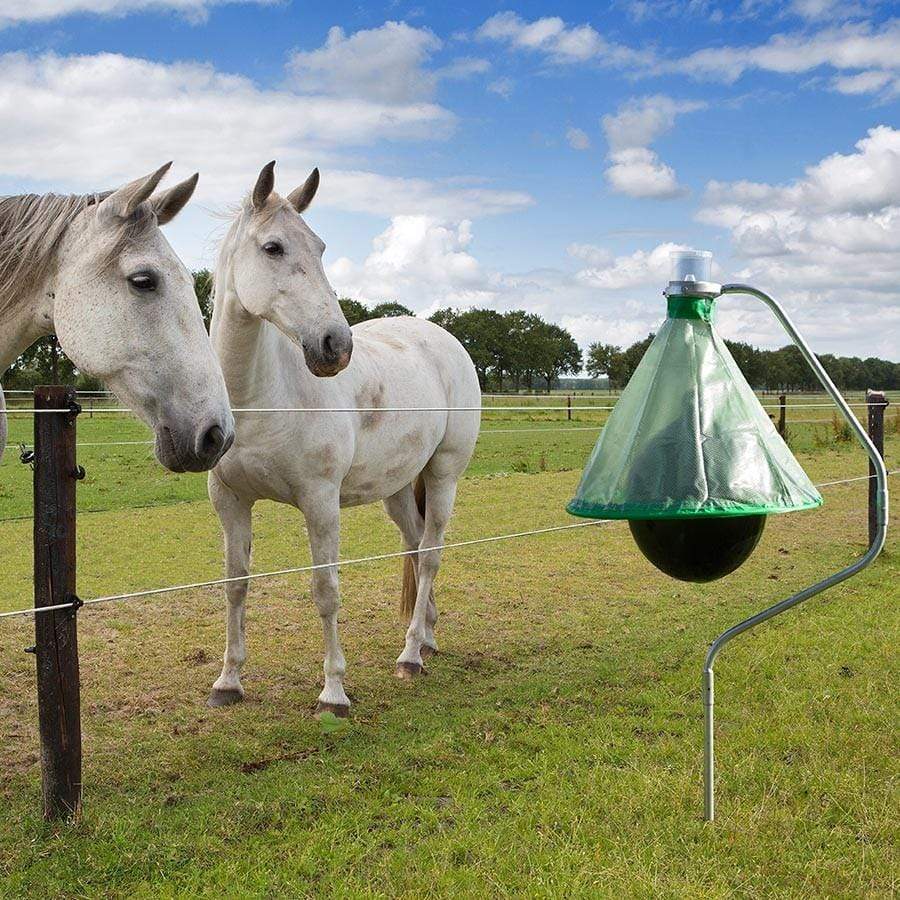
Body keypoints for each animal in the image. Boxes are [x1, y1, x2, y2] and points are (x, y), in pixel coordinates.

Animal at [206, 161, 481, 715]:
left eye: (321, 247)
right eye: (273, 247)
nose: (336, 345)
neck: (261, 396)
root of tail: (444, 339)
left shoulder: (320, 501)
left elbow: (325, 590)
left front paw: (333, 691)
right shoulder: (230, 500)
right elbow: (235, 586)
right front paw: (228, 681)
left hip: (444, 474)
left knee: (432, 552)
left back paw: (411, 656)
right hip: (397, 489)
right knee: (415, 548)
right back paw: (425, 638)